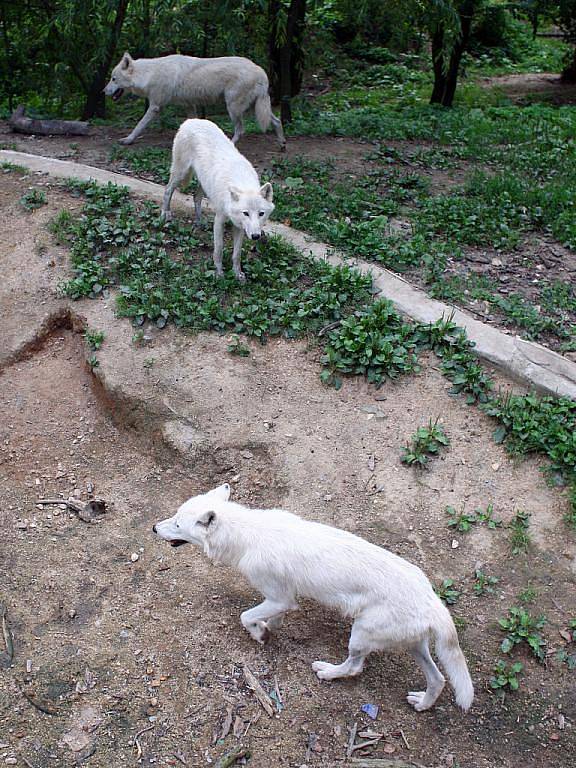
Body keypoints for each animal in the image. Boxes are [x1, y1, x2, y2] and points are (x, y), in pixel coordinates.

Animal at [104, 51, 288, 148]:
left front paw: (128, 139)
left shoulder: (155, 106)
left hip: (234, 108)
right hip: (253, 108)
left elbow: (139, 125)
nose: (103, 91)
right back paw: (282, 144)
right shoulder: (189, 106)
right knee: (276, 120)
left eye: (113, 79)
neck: (149, 74)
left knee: (241, 130)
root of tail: (259, 70)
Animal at [153, 484, 472, 712]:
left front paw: (259, 634)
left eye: (177, 524)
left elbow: (246, 616)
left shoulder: (281, 598)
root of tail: (434, 602)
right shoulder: (281, 598)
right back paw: (422, 704)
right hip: (414, 647)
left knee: (355, 667)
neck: (245, 535)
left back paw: (327, 672)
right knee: (439, 679)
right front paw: (270, 629)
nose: (154, 527)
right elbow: (271, 617)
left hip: (360, 635)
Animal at [159, 117, 274, 280]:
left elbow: (237, 254)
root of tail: (190, 120)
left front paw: (238, 274)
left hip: (202, 182)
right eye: (246, 213)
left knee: (196, 197)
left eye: (261, 213)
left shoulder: (239, 226)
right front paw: (219, 274)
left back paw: (199, 222)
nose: (256, 236)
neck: (242, 182)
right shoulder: (219, 219)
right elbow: (219, 249)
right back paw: (165, 214)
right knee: (168, 190)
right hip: (180, 173)